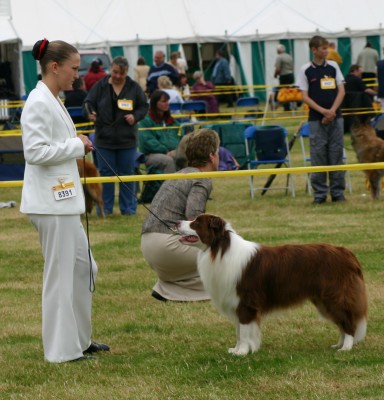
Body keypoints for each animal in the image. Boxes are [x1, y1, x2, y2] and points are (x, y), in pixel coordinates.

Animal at [177, 214, 366, 354]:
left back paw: (346, 348)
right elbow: (239, 331)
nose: (177, 222)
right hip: (322, 300)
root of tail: (346, 252)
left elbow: (243, 331)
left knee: (348, 321)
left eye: (196, 223)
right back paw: (339, 344)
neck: (219, 250)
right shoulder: (236, 303)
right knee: (342, 322)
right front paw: (236, 350)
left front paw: (242, 352)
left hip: (333, 296)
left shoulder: (246, 303)